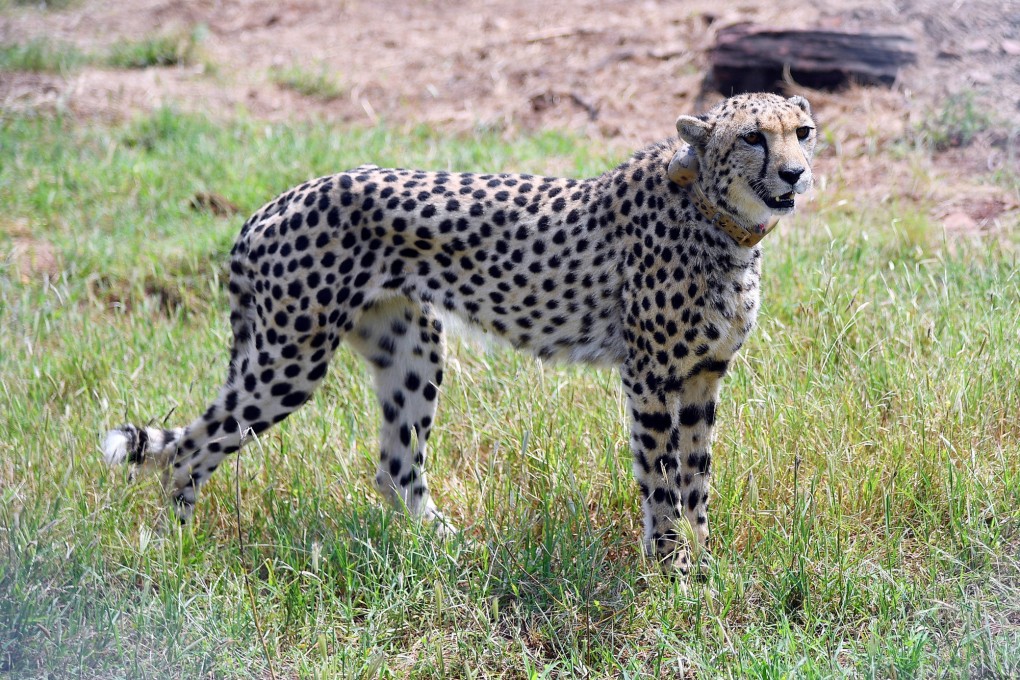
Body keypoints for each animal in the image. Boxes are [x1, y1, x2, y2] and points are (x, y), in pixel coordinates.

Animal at [102, 92, 817, 574]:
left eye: (803, 132)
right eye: (754, 137)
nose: (795, 173)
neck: (719, 219)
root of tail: (273, 204)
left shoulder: (701, 377)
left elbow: (697, 478)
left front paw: (704, 562)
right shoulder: (650, 377)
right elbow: (662, 478)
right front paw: (672, 569)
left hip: (411, 347)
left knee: (395, 468)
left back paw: (451, 550)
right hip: (290, 360)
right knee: (191, 448)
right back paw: (174, 549)